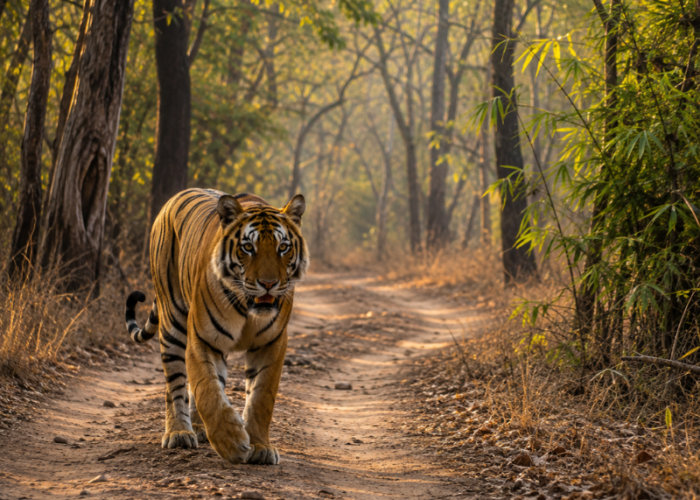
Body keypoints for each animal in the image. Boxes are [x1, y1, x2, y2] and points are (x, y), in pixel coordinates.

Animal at [124, 188, 308, 465]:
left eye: (283, 247)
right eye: (248, 247)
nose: (268, 284)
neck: (248, 307)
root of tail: (173, 198)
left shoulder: (271, 344)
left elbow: (261, 397)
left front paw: (261, 446)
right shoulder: (203, 339)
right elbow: (207, 390)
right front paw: (231, 442)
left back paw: (199, 429)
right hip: (173, 320)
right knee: (175, 384)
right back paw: (179, 433)